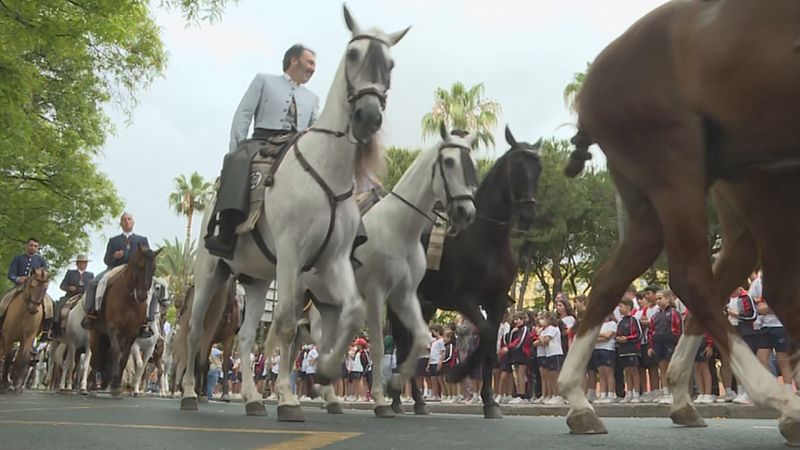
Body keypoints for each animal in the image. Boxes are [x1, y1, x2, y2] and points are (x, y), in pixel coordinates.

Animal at [88, 244, 160, 400]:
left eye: (154, 268)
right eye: (139, 266)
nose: (142, 296)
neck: (129, 300)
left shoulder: (131, 334)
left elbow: (125, 356)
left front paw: (117, 386)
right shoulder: (113, 329)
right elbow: (116, 352)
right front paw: (114, 385)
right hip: (96, 333)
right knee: (95, 357)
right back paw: (92, 387)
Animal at [179, 6, 410, 422]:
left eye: (391, 63)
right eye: (353, 54)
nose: (368, 116)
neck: (327, 173)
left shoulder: (333, 261)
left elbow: (351, 313)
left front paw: (326, 373)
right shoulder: (290, 254)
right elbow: (286, 324)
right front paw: (288, 398)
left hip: (255, 280)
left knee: (243, 337)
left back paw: (253, 398)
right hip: (209, 271)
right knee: (195, 330)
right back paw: (190, 392)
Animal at [390, 126, 540, 418]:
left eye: (538, 168)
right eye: (517, 166)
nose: (528, 216)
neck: (487, 237)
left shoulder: (496, 299)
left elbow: (490, 343)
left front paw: (489, 400)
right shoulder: (461, 298)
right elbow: (486, 333)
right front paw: (458, 372)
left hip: (425, 306)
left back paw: (414, 400)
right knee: (403, 347)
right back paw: (398, 398)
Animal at [552, 0, 800, 442]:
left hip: (656, 201)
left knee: (612, 281)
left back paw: (583, 400)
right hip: (675, 168)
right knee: (696, 281)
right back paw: (780, 401)